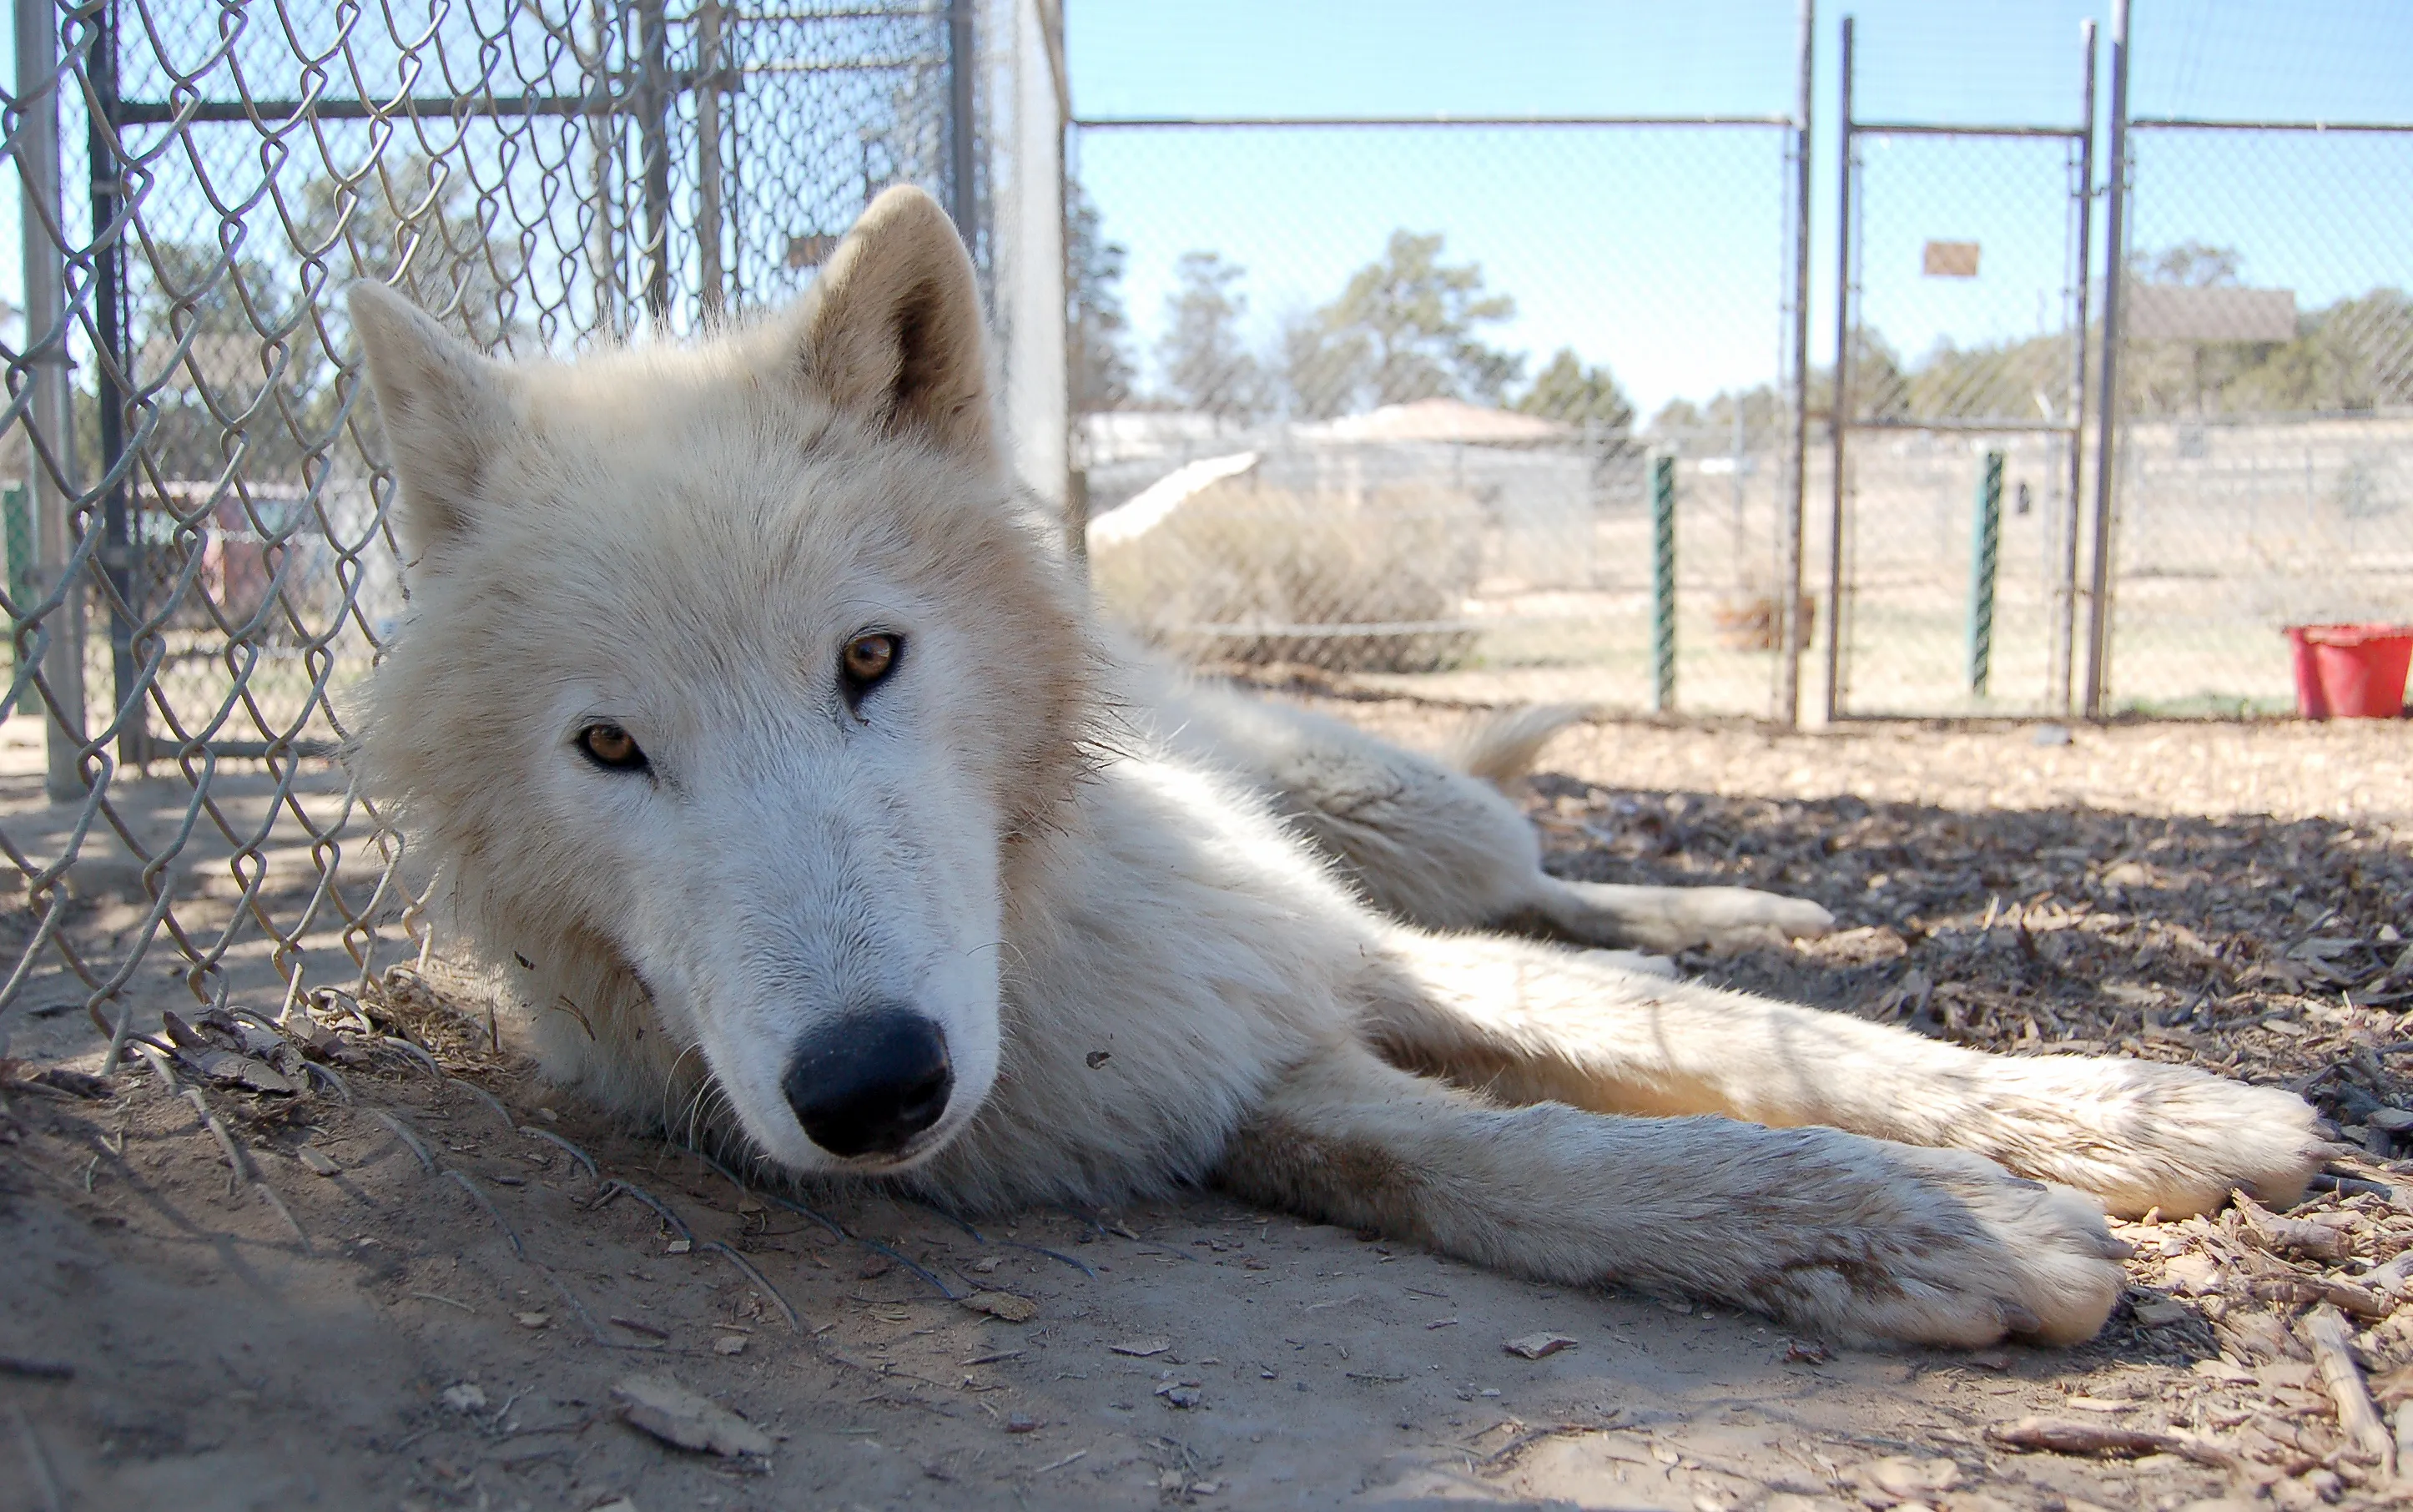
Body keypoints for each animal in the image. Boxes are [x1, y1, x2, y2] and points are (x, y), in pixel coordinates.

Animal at [349, 186, 2324, 1348]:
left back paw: (1760, 902)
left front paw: (2147, 1119)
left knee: (1560, 883)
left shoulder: (1350, 953)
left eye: (868, 661)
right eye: (611, 748)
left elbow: (1776, 1052)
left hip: (1401, 825)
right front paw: (1939, 1231)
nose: (870, 1085)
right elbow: (1556, 1165)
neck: (1047, 951)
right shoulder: (1244, 1091)